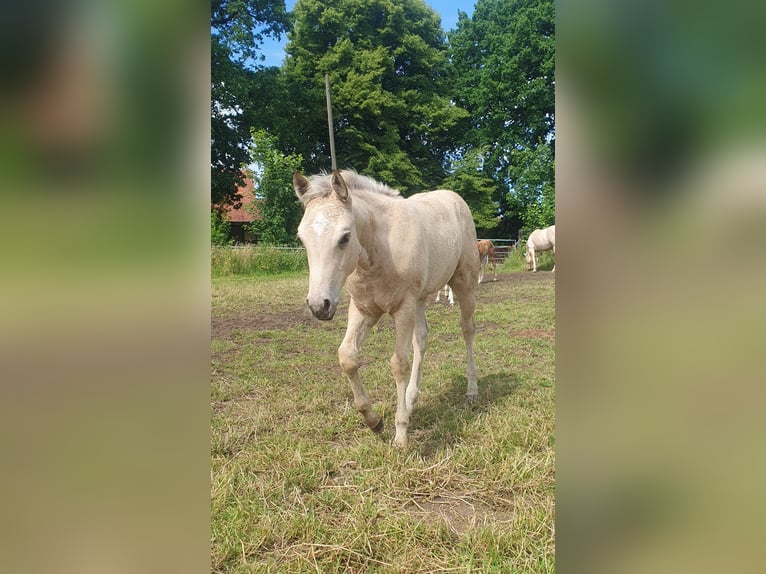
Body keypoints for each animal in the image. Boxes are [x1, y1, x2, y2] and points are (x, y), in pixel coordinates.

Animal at [294, 169, 480, 448]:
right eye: (301, 238)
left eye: (345, 236)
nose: (319, 305)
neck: (378, 250)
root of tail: (455, 198)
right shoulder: (364, 309)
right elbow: (347, 357)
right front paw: (374, 421)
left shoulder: (403, 307)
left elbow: (399, 364)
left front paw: (400, 434)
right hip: (420, 299)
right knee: (421, 340)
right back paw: (411, 401)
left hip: (463, 283)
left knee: (467, 330)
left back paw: (471, 390)